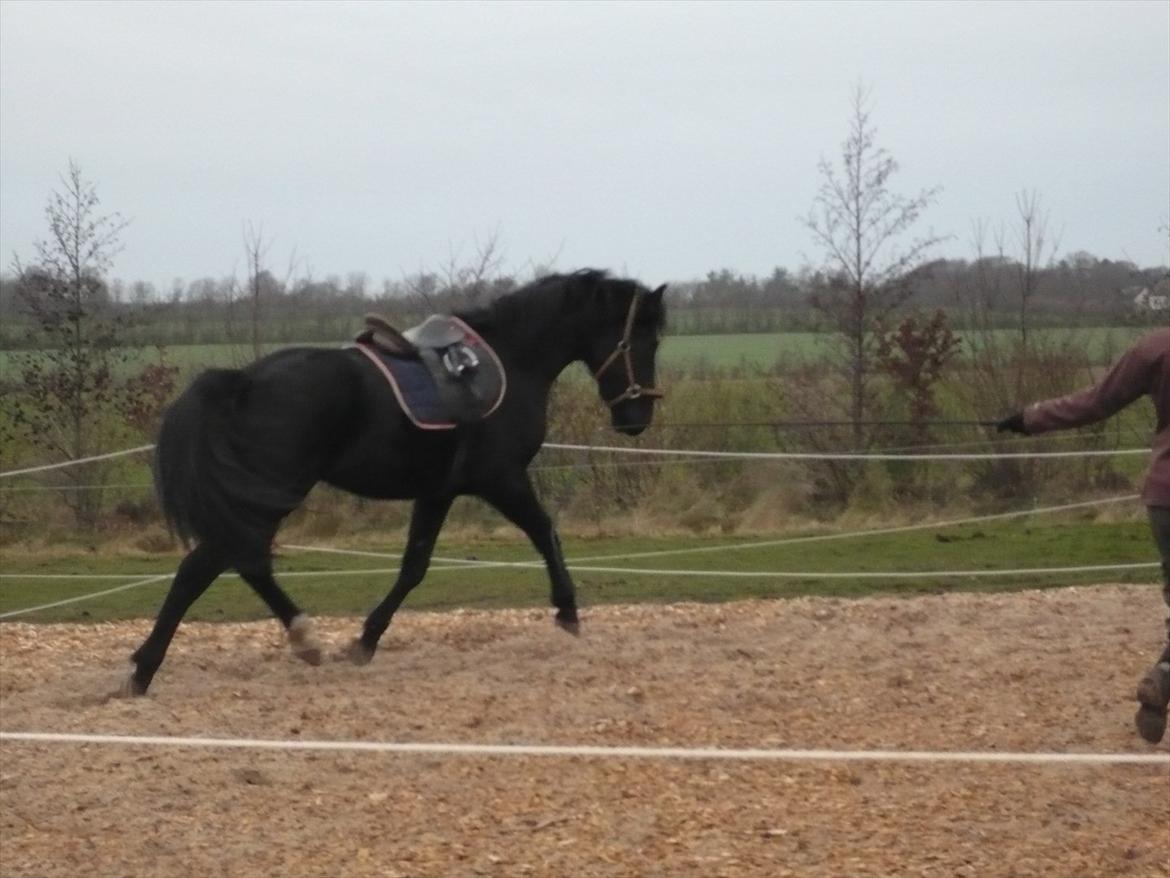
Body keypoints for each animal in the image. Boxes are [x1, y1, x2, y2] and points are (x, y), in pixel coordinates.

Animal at [123, 271, 669, 697]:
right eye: (644, 340)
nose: (637, 418)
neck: (512, 361)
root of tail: (243, 380)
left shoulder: (438, 491)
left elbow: (414, 567)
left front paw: (366, 640)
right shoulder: (501, 478)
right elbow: (544, 531)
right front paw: (568, 611)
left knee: (235, 561)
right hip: (273, 492)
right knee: (212, 565)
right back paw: (160, 668)